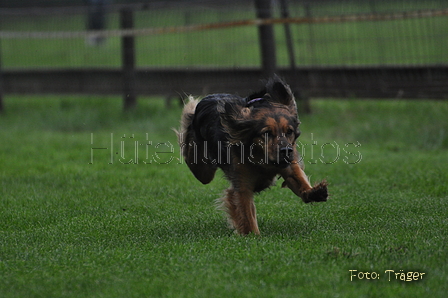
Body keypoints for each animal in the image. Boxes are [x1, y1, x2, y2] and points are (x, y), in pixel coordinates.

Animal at [177, 77, 328, 235]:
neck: (262, 159)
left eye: (289, 131)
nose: (286, 150)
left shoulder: (289, 165)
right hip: (203, 170)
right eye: (267, 133)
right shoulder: (242, 186)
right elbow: (246, 213)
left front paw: (314, 192)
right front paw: (253, 236)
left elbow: (298, 179)